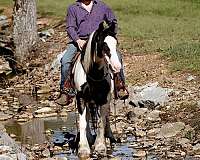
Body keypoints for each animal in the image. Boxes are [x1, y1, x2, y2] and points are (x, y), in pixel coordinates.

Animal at [72, 21, 121, 158]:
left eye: (116, 43)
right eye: (104, 45)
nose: (117, 67)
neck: (93, 73)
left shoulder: (104, 99)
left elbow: (101, 121)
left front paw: (100, 146)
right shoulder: (81, 98)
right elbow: (83, 122)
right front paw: (83, 148)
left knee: (105, 117)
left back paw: (109, 136)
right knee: (87, 116)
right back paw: (88, 138)